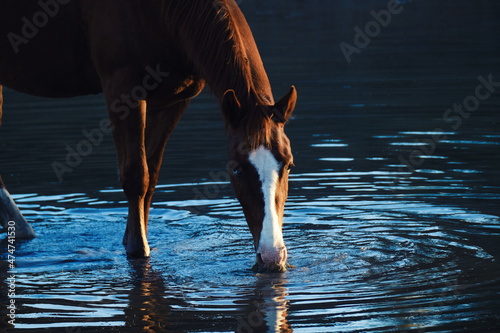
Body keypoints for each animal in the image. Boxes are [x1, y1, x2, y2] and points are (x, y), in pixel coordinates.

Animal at [0, 0, 296, 270]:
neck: (161, 12)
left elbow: (150, 175)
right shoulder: (122, 92)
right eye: (235, 170)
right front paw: (137, 249)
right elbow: (135, 175)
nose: (272, 256)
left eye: (289, 165)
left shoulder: (174, 100)